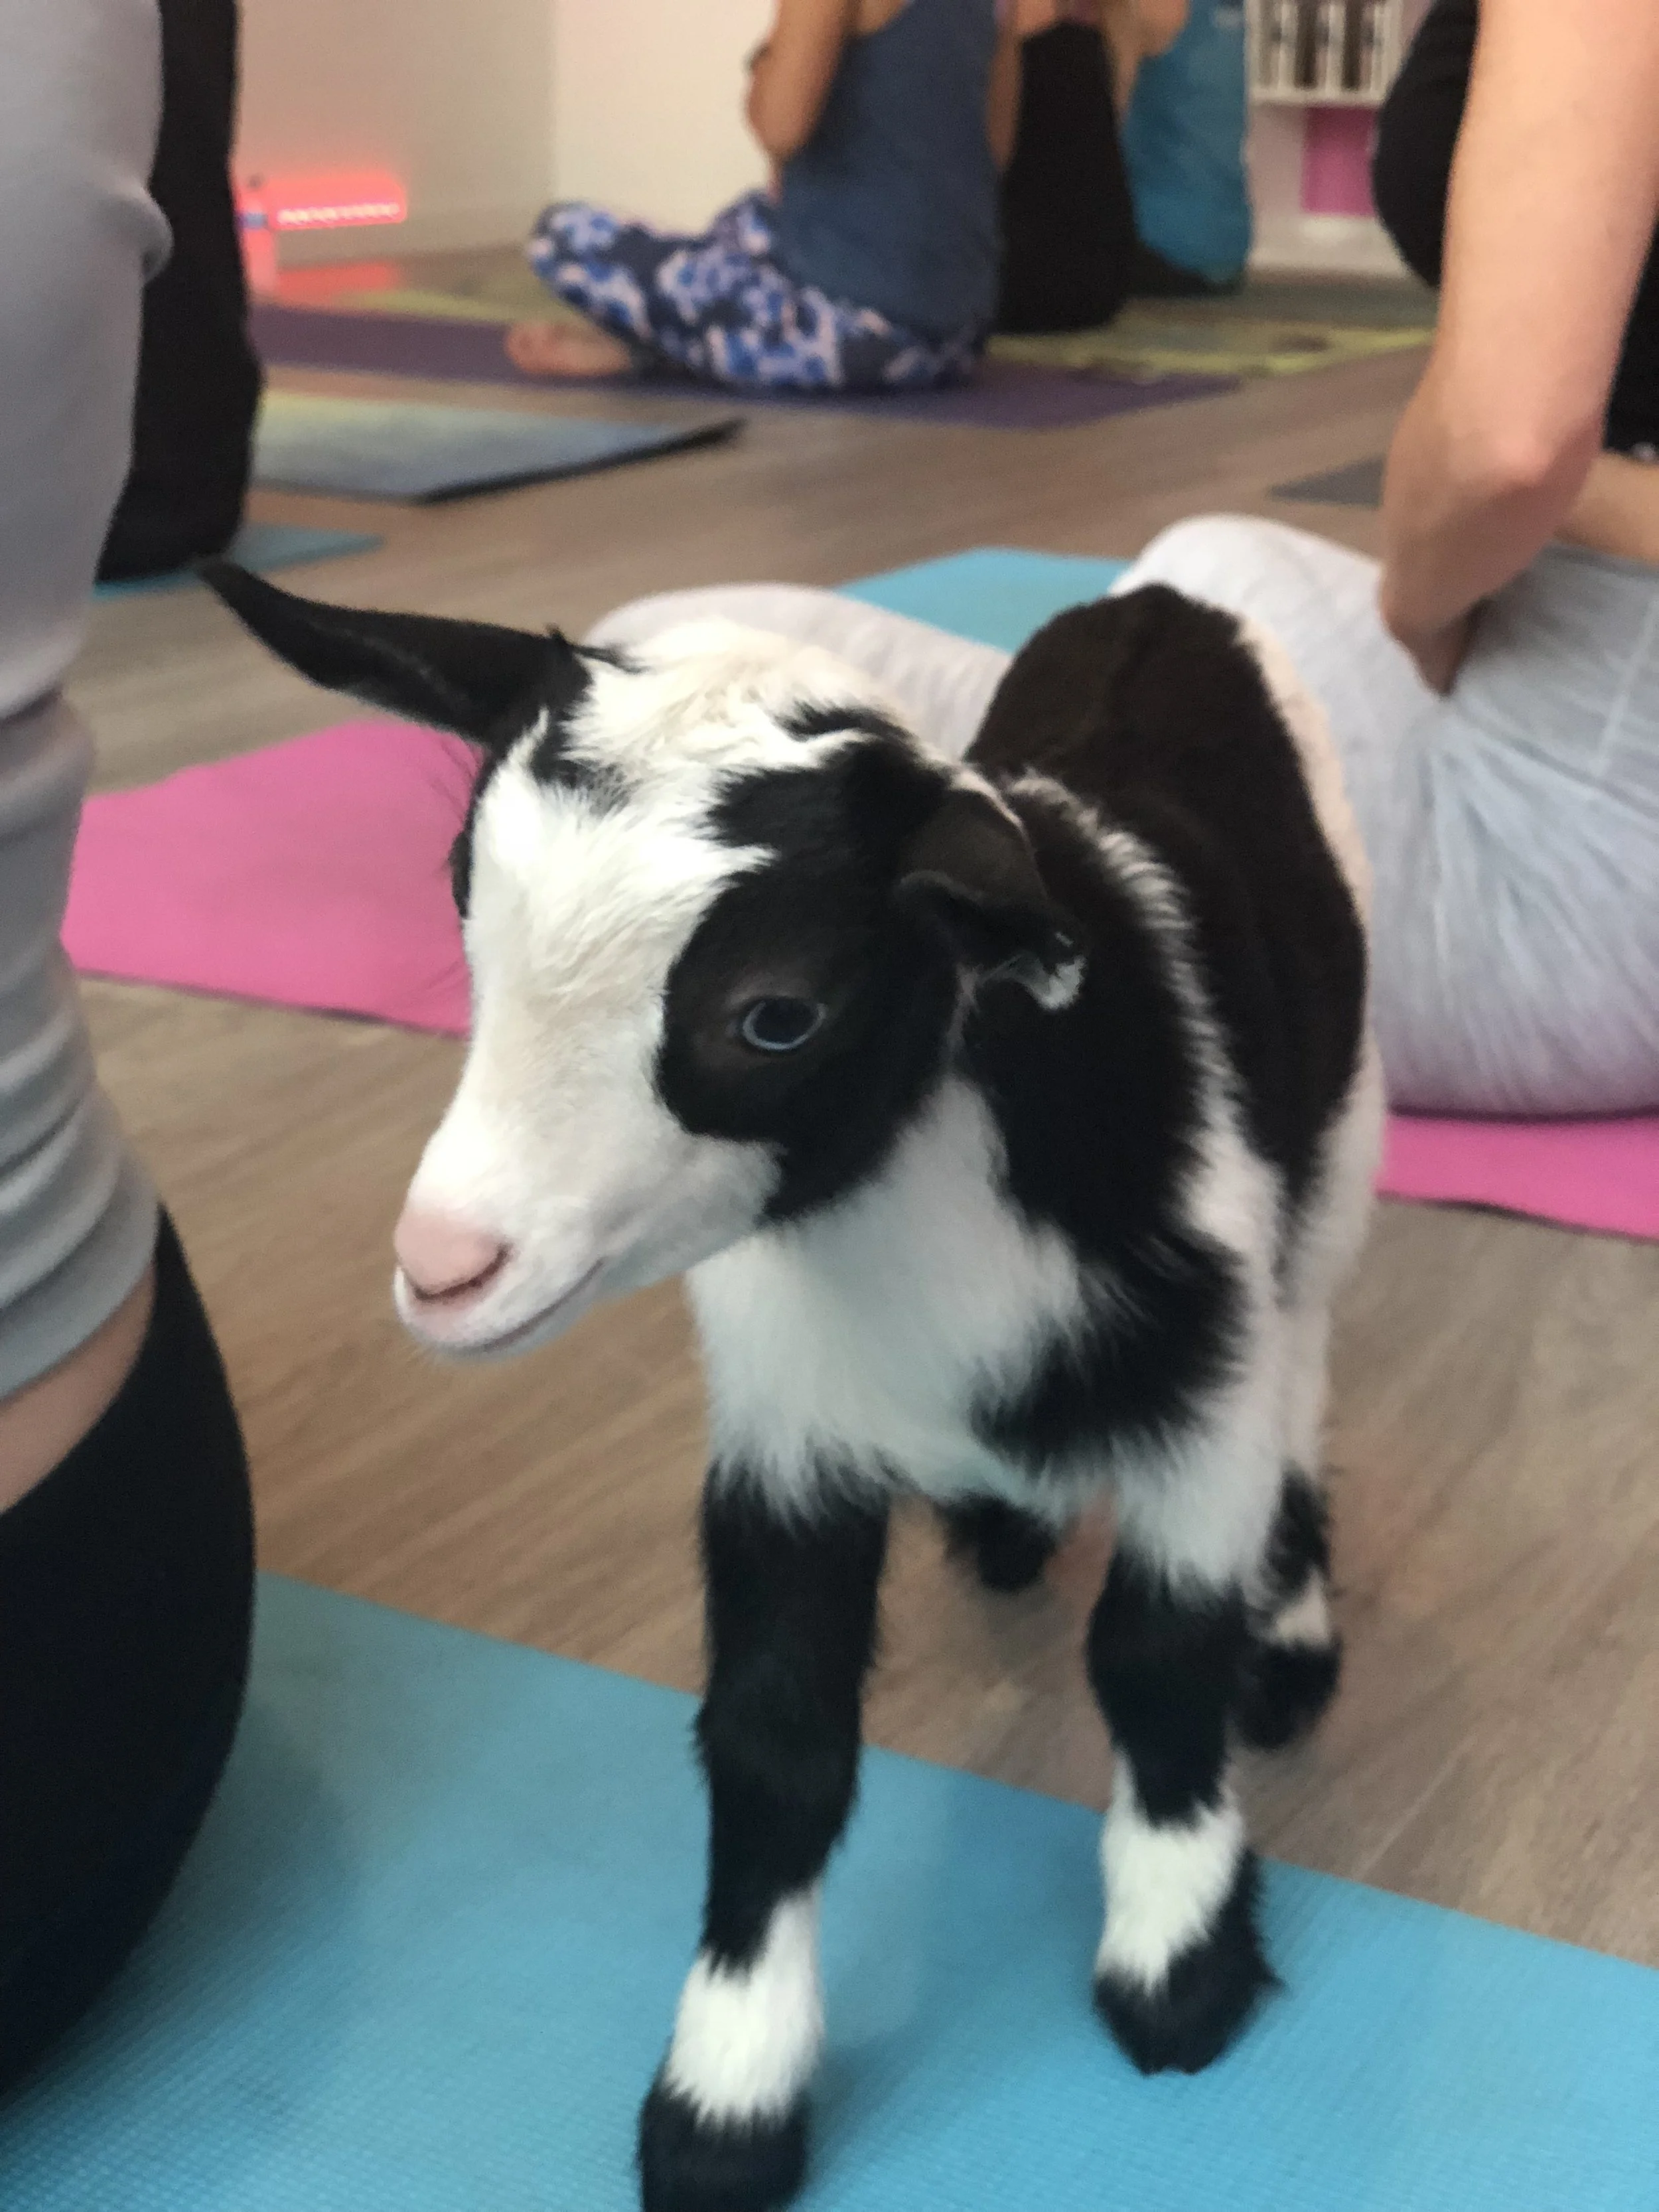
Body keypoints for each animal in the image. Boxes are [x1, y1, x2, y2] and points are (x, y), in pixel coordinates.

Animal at [209, 562, 1383, 2212]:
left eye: (776, 1013)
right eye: (460, 901)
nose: (443, 1267)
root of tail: (1163, 596)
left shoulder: (1200, 1385)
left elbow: (1158, 1654)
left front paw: (1176, 1960)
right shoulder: (783, 1423)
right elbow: (775, 1736)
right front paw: (725, 2099)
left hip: (1342, 1131)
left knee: (1313, 1348)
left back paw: (1286, 1632)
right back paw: (1003, 1530)